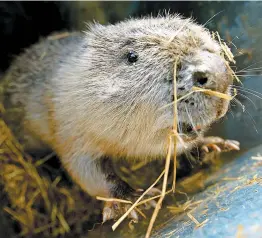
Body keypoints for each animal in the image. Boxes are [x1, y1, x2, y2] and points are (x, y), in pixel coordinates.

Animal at [1, 14, 241, 221]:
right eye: (132, 56)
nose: (218, 74)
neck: (73, 79)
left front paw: (212, 145)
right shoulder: (67, 125)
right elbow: (86, 170)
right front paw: (134, 201)